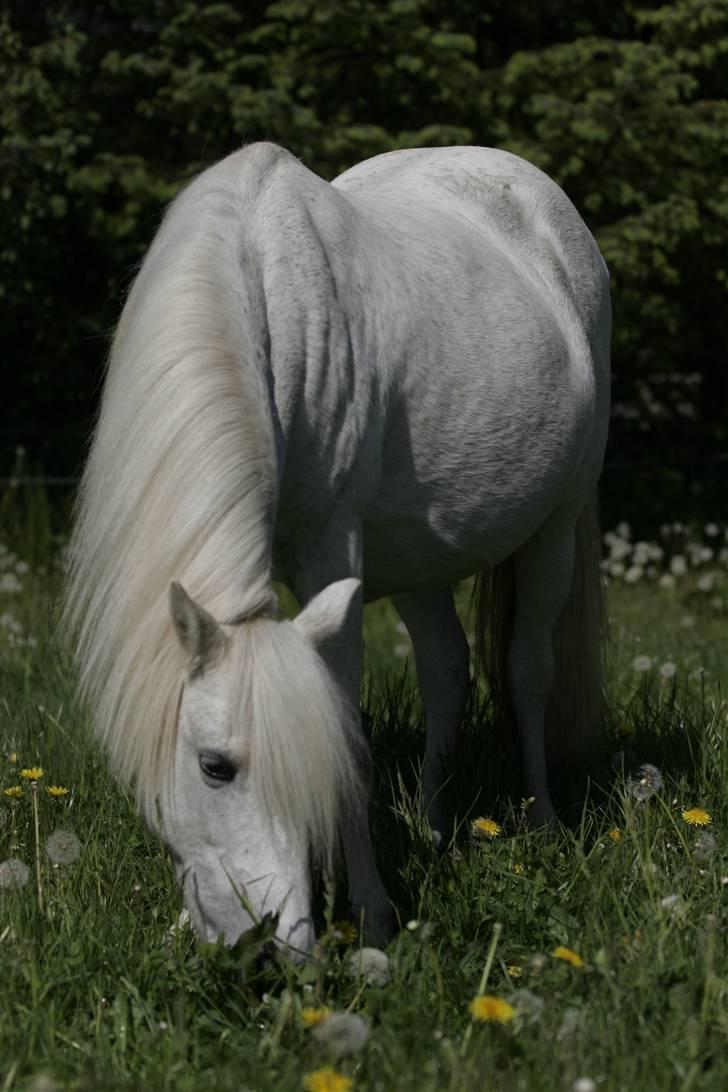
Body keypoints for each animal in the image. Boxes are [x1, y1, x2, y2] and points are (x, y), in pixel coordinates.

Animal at [66, 143, 611, 956]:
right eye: (214, 767)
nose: (270, 941)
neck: (267, 292)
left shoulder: (332, 550)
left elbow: (344, 717)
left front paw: (374, 913)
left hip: (557, 528)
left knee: (528, 668)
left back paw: (542, 819)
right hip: (421, 556)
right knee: (446, 666)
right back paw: (433, 824)